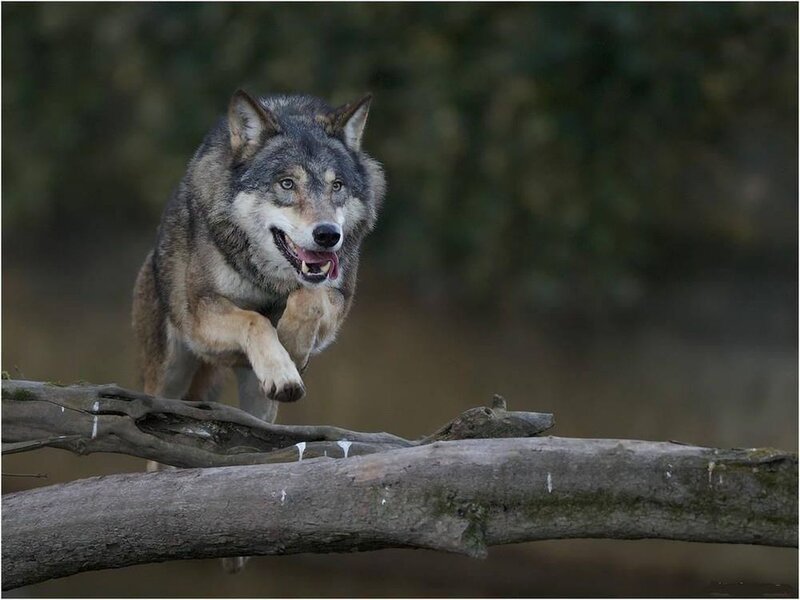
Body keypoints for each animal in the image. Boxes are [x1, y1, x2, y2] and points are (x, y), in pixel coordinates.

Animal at [132, 89, 385, 426]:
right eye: (287, 183)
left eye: (337, 186)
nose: (328, 235)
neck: (268, 281)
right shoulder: (201, 316)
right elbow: (255, 319)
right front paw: (283, 361)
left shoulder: (337, 299)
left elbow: (310, 299)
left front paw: (292, 344)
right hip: (169, 375)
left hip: (256, 397)